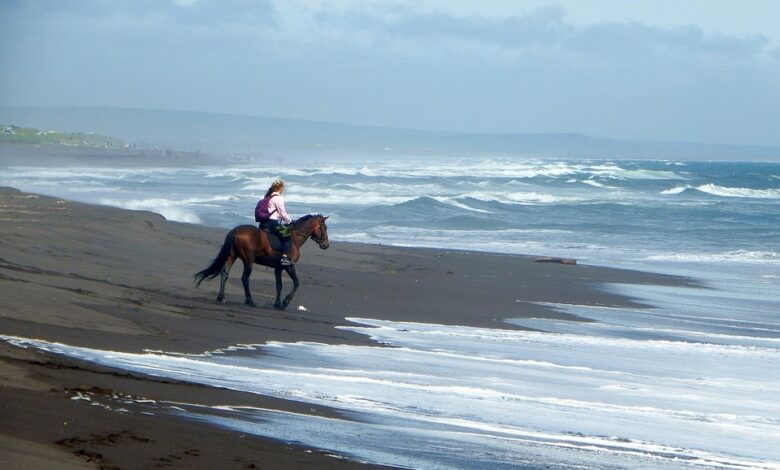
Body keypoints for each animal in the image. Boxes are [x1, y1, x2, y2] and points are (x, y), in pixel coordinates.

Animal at [197, 215, 330, 310]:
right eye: (325, 227)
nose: (326, 245)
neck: (294, 238)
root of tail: (235, 231)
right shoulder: (289, 266)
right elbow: (296, 282)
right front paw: (285, 302)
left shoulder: (278, 268)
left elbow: (279, 285)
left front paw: (277, 304)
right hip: (248, 260)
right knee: (245, 278)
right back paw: (250, 301)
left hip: (231, 256)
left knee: (224, 273)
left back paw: (221, 297)